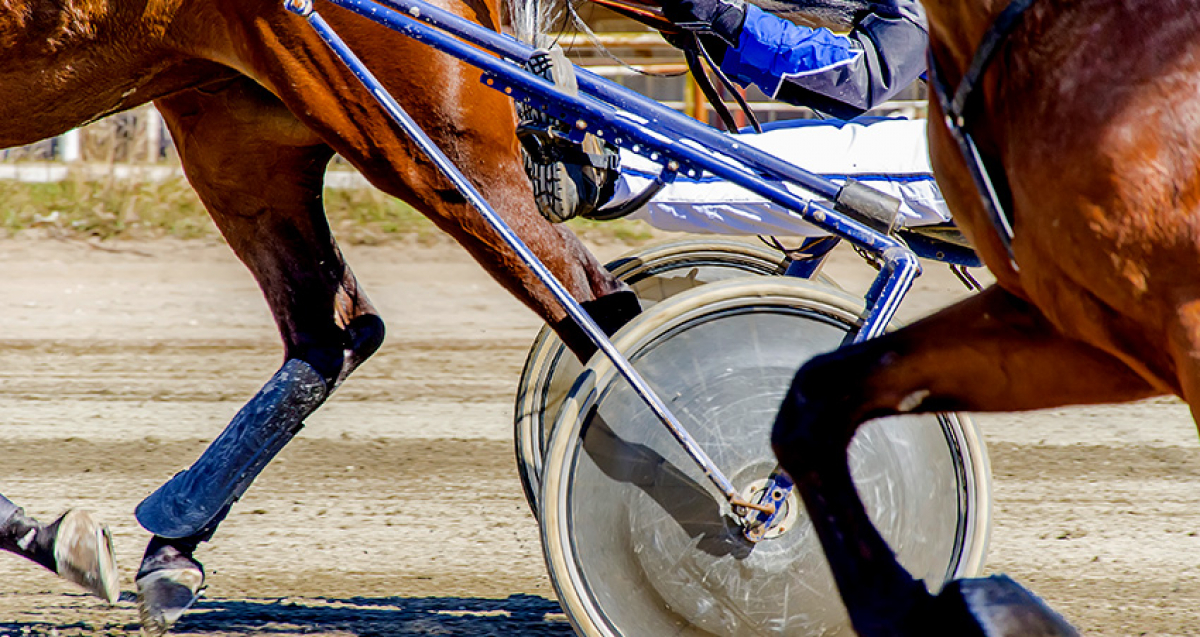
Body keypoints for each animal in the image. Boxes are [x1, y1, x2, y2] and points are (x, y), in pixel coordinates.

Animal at [2, 0, 638, 628]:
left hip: (426, 142)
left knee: (595, 302)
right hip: (241, 131)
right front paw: (42, 534)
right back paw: (171, 543)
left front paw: (40, 532)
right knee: (330, 334)